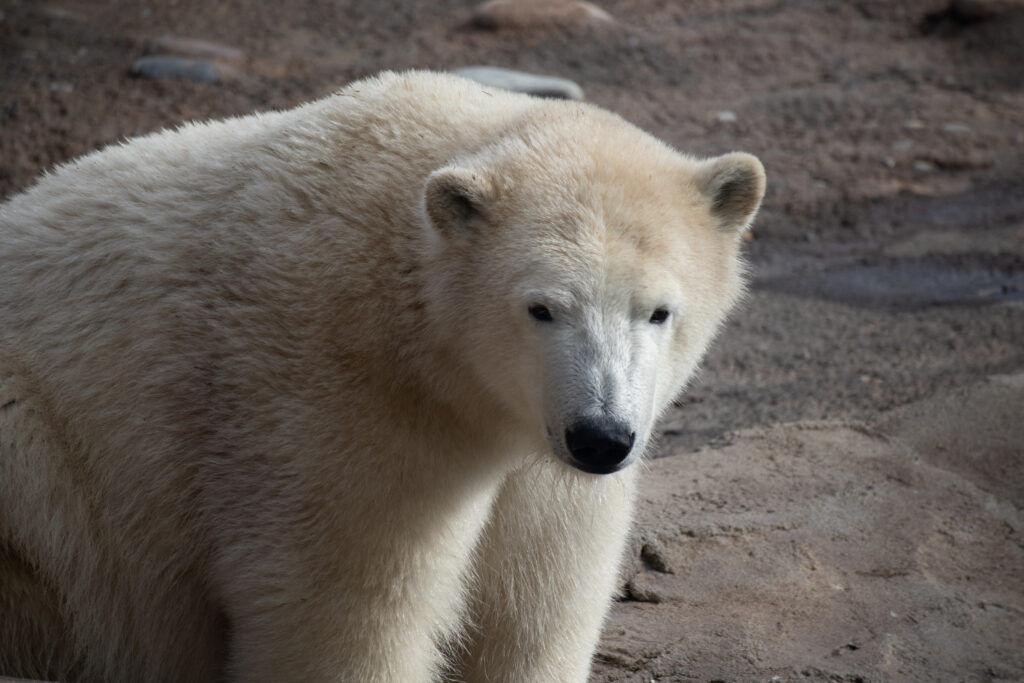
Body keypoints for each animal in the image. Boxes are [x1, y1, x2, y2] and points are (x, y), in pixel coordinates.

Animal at [0, 70, 765, 683]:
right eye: (542, 307)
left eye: (659, 311)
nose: (600, 436)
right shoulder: (335, 408)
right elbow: (343, 610)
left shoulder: (543, 467)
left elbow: (534, 607)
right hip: (43, 474)